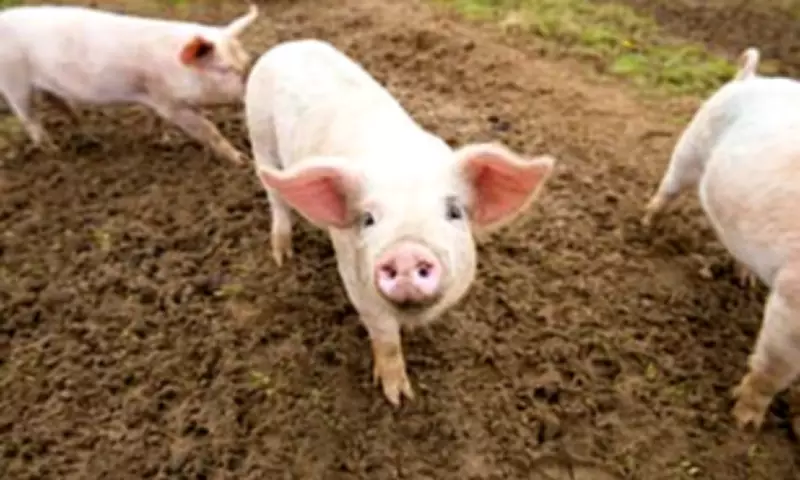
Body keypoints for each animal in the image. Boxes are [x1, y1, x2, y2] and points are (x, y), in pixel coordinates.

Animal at [0, 4, 258, 164]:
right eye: (224, 69)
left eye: (246, 61)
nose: (251, 92)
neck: (176, 69)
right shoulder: (169, 103)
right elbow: (208, 129)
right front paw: (241, 161)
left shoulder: (154, 96)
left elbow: (155, 119)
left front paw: (164, 141)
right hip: (14, 82)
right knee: (30, 119)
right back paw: (55, 153)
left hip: (48, 85)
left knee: (62, 105)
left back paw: (93, 140)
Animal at [245, 39, 556, 406]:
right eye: (368, 219)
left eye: (454, 211)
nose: (406, 252)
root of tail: (287, 45)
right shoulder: (356, 281)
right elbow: (385, 338)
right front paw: (399, 398)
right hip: (259, 134)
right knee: (275, 196)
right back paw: (283, 255)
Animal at [642, 46, 800, 431]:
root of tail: (751, 76)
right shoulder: (793, 296)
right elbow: (773, 369)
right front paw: (744, 424)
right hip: (690, 149)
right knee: (667, 189)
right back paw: (647, 226)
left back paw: (745, 282)